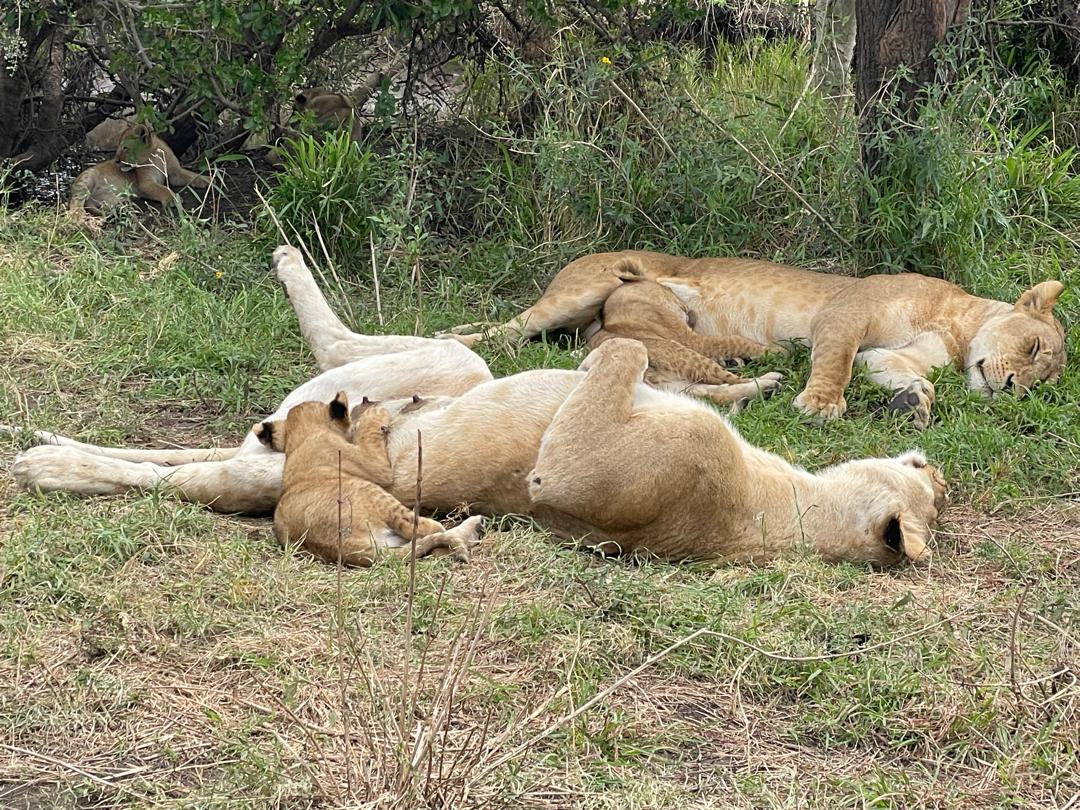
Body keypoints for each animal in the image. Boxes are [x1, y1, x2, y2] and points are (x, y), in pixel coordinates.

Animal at [68, 123, 211, 218]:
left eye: (125, 148)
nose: (116, 161)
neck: (155, 156)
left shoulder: (174, 172)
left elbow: (191, 175)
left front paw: (207, 180)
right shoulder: (145, 184)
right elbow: (162, 189)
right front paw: (172, 199)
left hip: (109, 197)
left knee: (98, 204)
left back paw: (122, 205)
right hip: (87, 178)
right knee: (76, 201)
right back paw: (78, 215)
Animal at [263, 391, 483, 566]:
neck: (301, 439)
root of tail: (345, 548)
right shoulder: (374, 465)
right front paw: (374, 412)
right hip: (374, 494)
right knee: (423, 529)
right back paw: (471, 529)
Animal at [443, 251, 1067, 428]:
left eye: (1041, 385)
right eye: (1035, 349)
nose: (1013, 387)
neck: (956, 328)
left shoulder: (886, 353)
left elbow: (897, 373)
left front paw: (914, 403)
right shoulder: (844, 315)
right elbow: (835, 361)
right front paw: (820, 404)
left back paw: (756, 386)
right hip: (581, 293)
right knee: (508, 328)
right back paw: (454, 336)